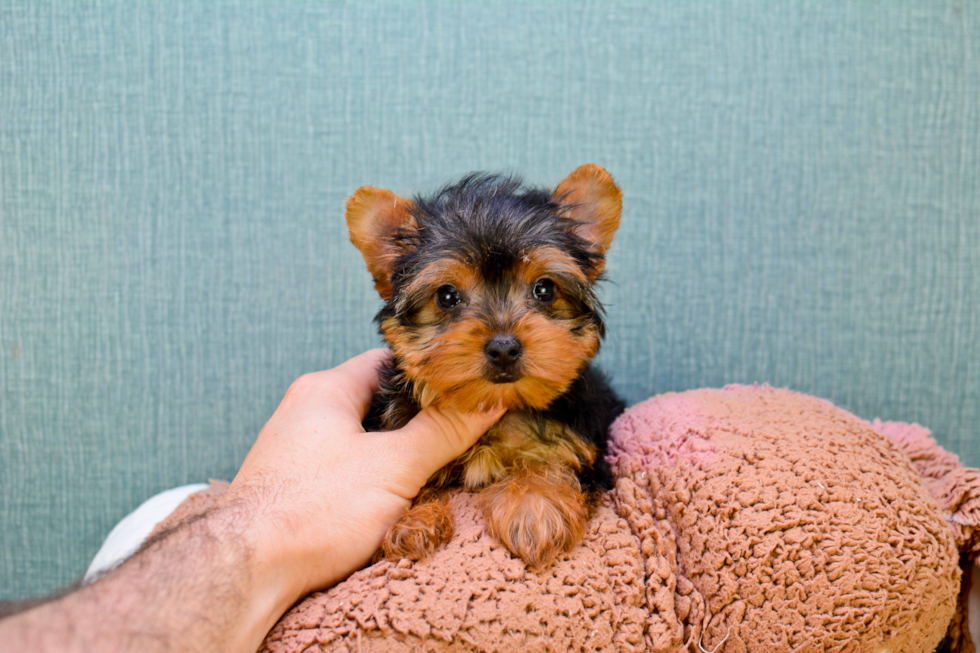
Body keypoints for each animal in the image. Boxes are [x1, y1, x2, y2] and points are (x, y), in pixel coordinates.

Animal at [348, 164, 624, 572]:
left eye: (544, 289)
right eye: (447, 296)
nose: (504, 348)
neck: (499, 407)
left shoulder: (584, 443)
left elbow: (555, 461)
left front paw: (534, 506)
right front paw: (413, 522)